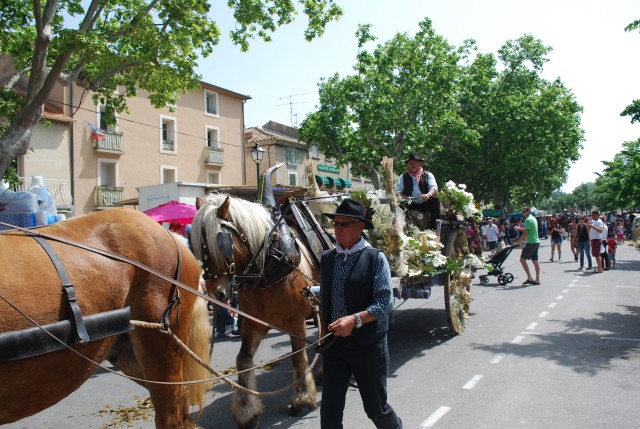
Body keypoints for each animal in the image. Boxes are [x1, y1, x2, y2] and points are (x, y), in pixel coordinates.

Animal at [190, 193, 320, 428]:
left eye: (220, 244)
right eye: (194, 247)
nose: (216, 295)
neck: (270, 266)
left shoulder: (296, 322)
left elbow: (298, 358)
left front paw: (302, 397)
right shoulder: (253, 323)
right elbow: (243, 360)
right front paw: (246, 410)